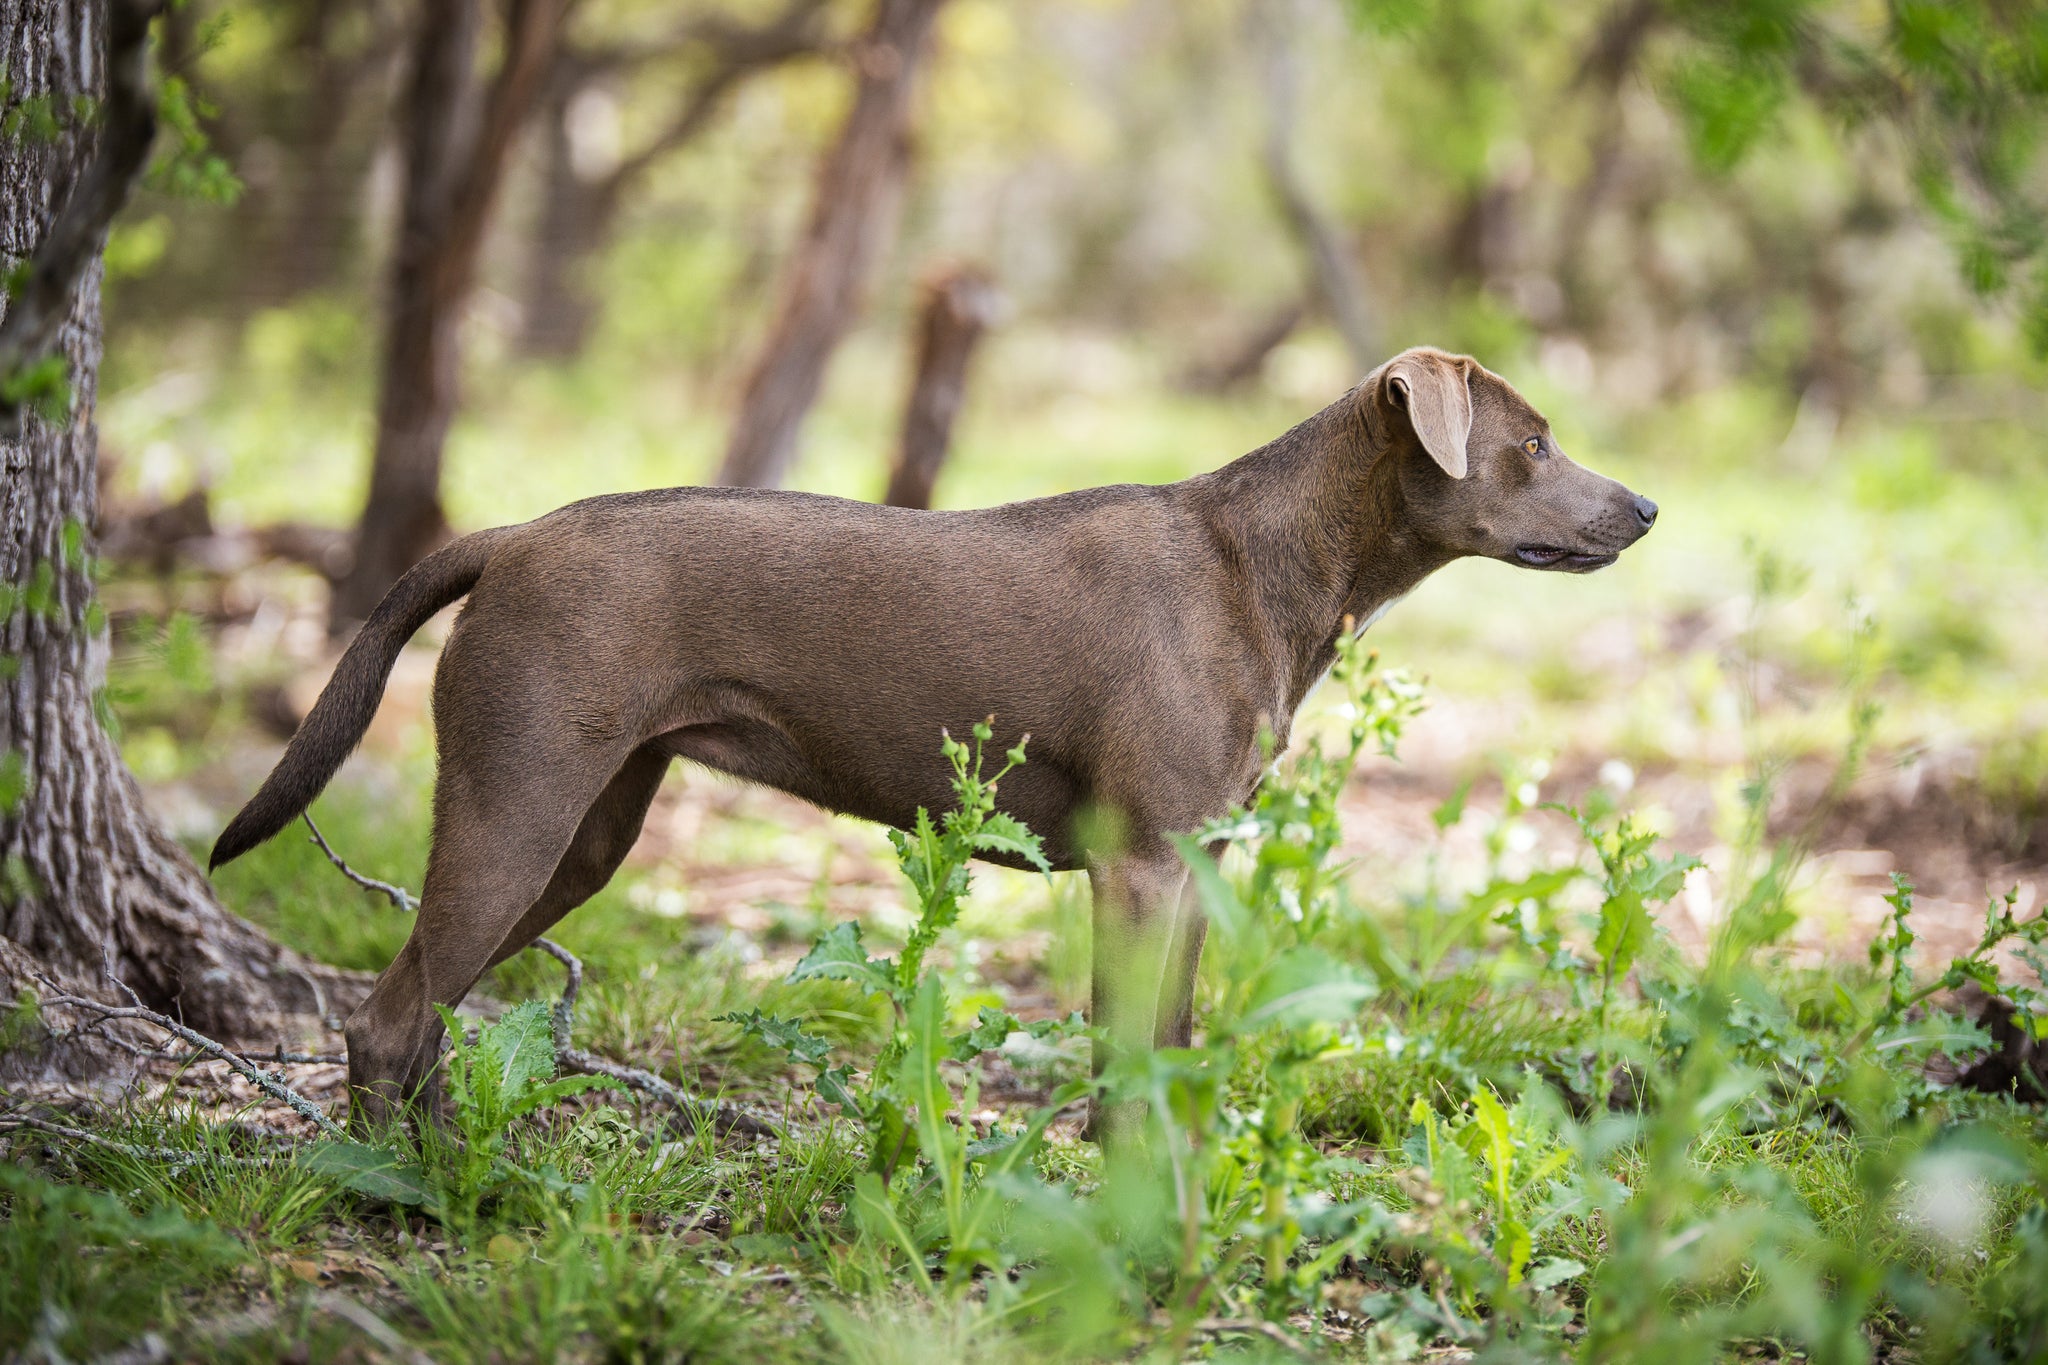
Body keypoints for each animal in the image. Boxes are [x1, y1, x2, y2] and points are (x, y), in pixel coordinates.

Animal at [211, 347, 1646, 1129]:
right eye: (1535, 444)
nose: (1642, 507)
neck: (1269, 565)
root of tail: (507, 538)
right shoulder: (1139, 871)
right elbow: (1123, 1065)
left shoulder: (1197, 869)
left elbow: (1169, 1055)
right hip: (517, 810)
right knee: (390, 1022)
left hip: (584, 834)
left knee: (421, 1022)